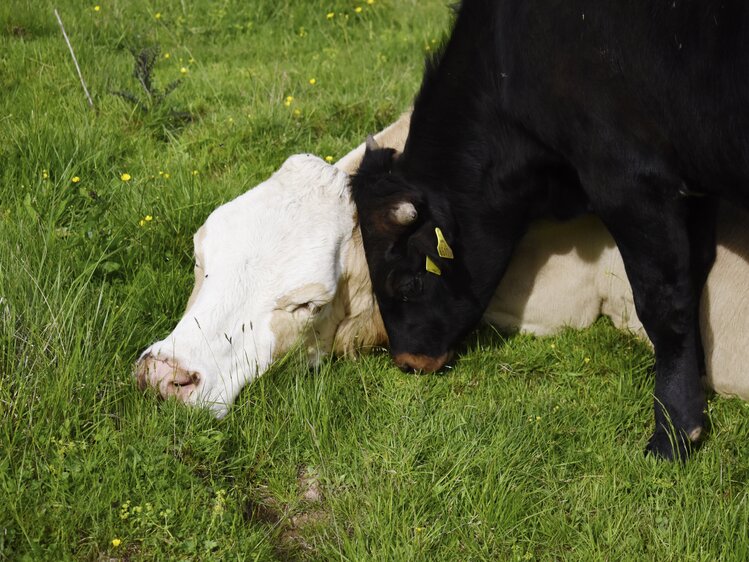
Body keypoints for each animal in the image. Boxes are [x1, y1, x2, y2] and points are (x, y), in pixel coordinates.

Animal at [350, 0, 748, 460]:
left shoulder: (626, 180)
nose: (408, 362)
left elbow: (663, 305)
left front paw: (674, 431)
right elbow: (693, 276)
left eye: (408, 283)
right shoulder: (694, 190)